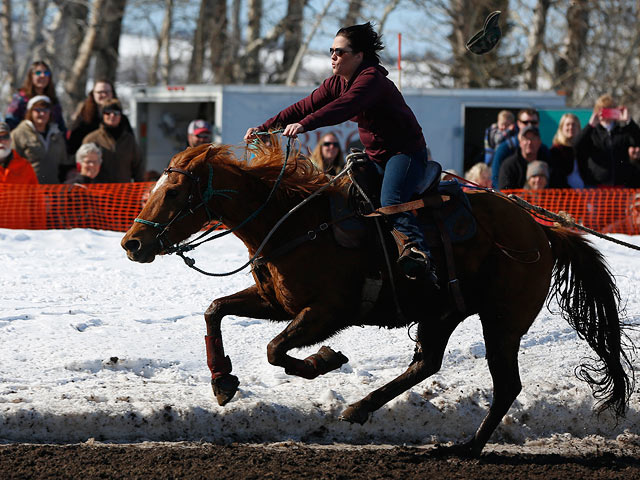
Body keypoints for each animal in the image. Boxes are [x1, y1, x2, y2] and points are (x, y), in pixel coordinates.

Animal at [120, 141, 632, 456]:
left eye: (176, 190)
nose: (132, 243)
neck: (293, 223)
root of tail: (543, 231)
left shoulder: (326, 312)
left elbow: (275, 350)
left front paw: (324, 360)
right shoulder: (276, 303)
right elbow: (216, 311)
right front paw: (222, 381)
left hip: (502, 321)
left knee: (505, 385)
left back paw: (466, 447)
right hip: (443, 313)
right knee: (426, 363)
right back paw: (362, 408)